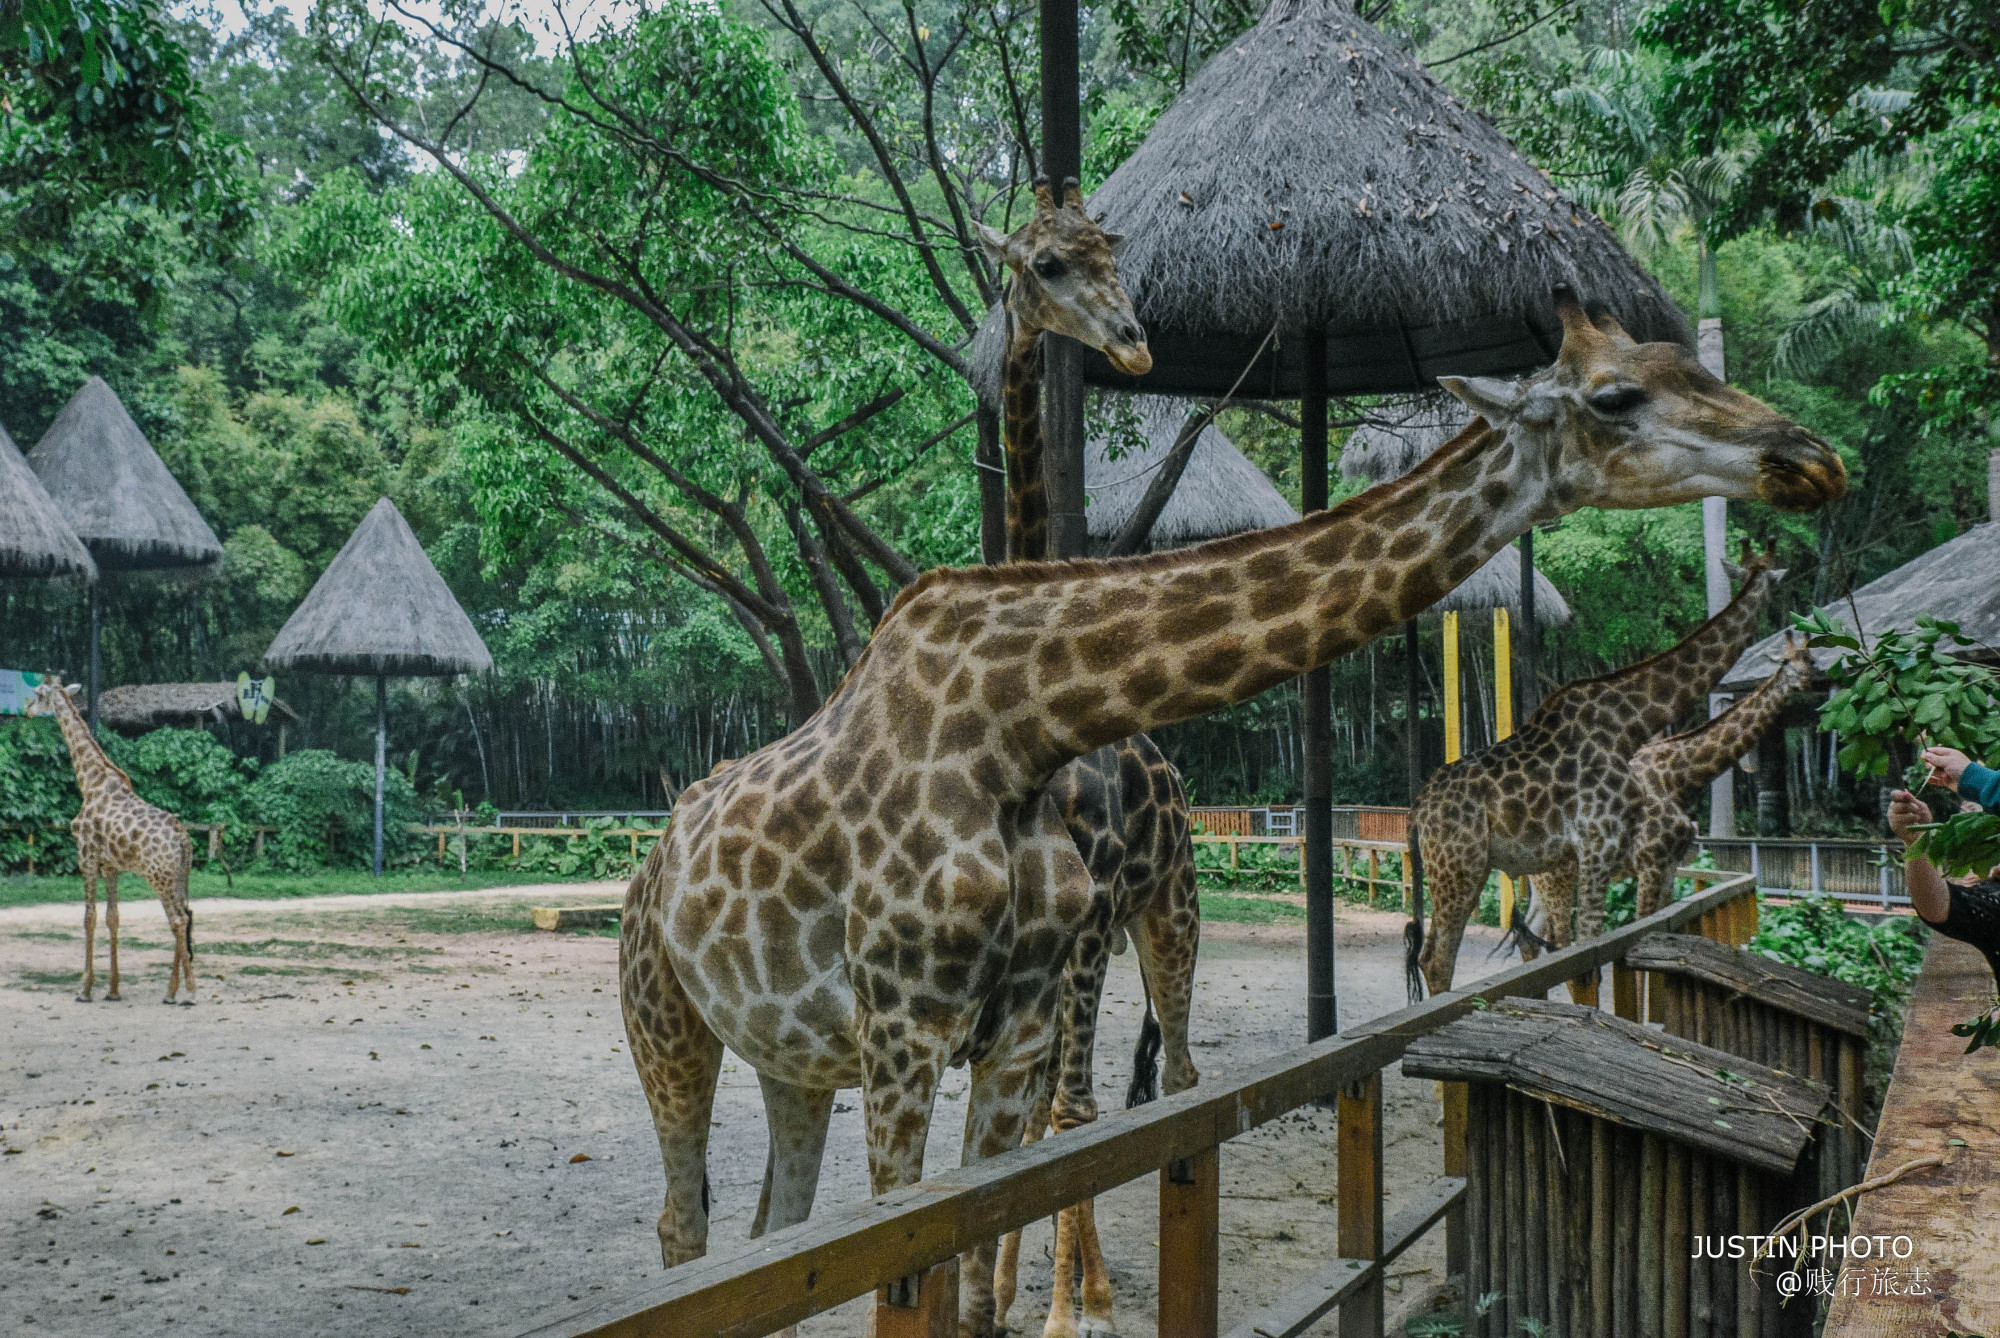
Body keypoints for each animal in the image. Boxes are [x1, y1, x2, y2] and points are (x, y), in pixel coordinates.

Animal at [24, 680, 195, 1000]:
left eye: (39, 694)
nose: (27, 709)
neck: (90, 782)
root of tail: (183, 839)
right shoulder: (110, 865)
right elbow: (113, 917)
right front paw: (113, 989)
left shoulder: (86, 858)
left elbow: (89, 918)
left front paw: (84, 988)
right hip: (178, 876)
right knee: (186, 917)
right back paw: (176, 989)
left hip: (159, 877)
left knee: (177, 920)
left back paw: (182, 992)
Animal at [1416, 548, 1792, 996]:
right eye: (1774, 583)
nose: (1789, 627)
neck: (1627, 725)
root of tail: (1418, 809)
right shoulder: (1606, 843)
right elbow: (1590, 956)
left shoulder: (1642, 858)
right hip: (1461, 868)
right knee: (1440, 958)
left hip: (1483, 871)